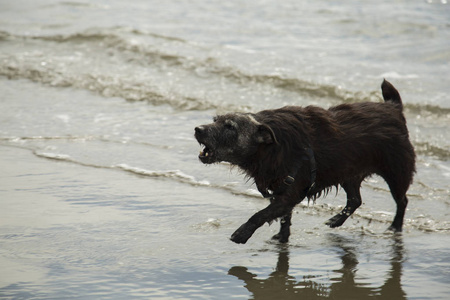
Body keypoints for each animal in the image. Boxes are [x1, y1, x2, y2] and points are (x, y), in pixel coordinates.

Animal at [195, 80, 416, 244]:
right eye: (215, 120)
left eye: (230, 126)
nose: (198, 129)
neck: (270, 149)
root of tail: (394, 108)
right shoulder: (282, 191)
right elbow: (284, 217)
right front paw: (282, 238)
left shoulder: (291, 191)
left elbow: (261, 214)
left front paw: (242, 233)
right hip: (348, 172)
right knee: (355, 199)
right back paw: (336, 220)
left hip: (396, 172)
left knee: (402, 201)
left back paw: (395, 226)